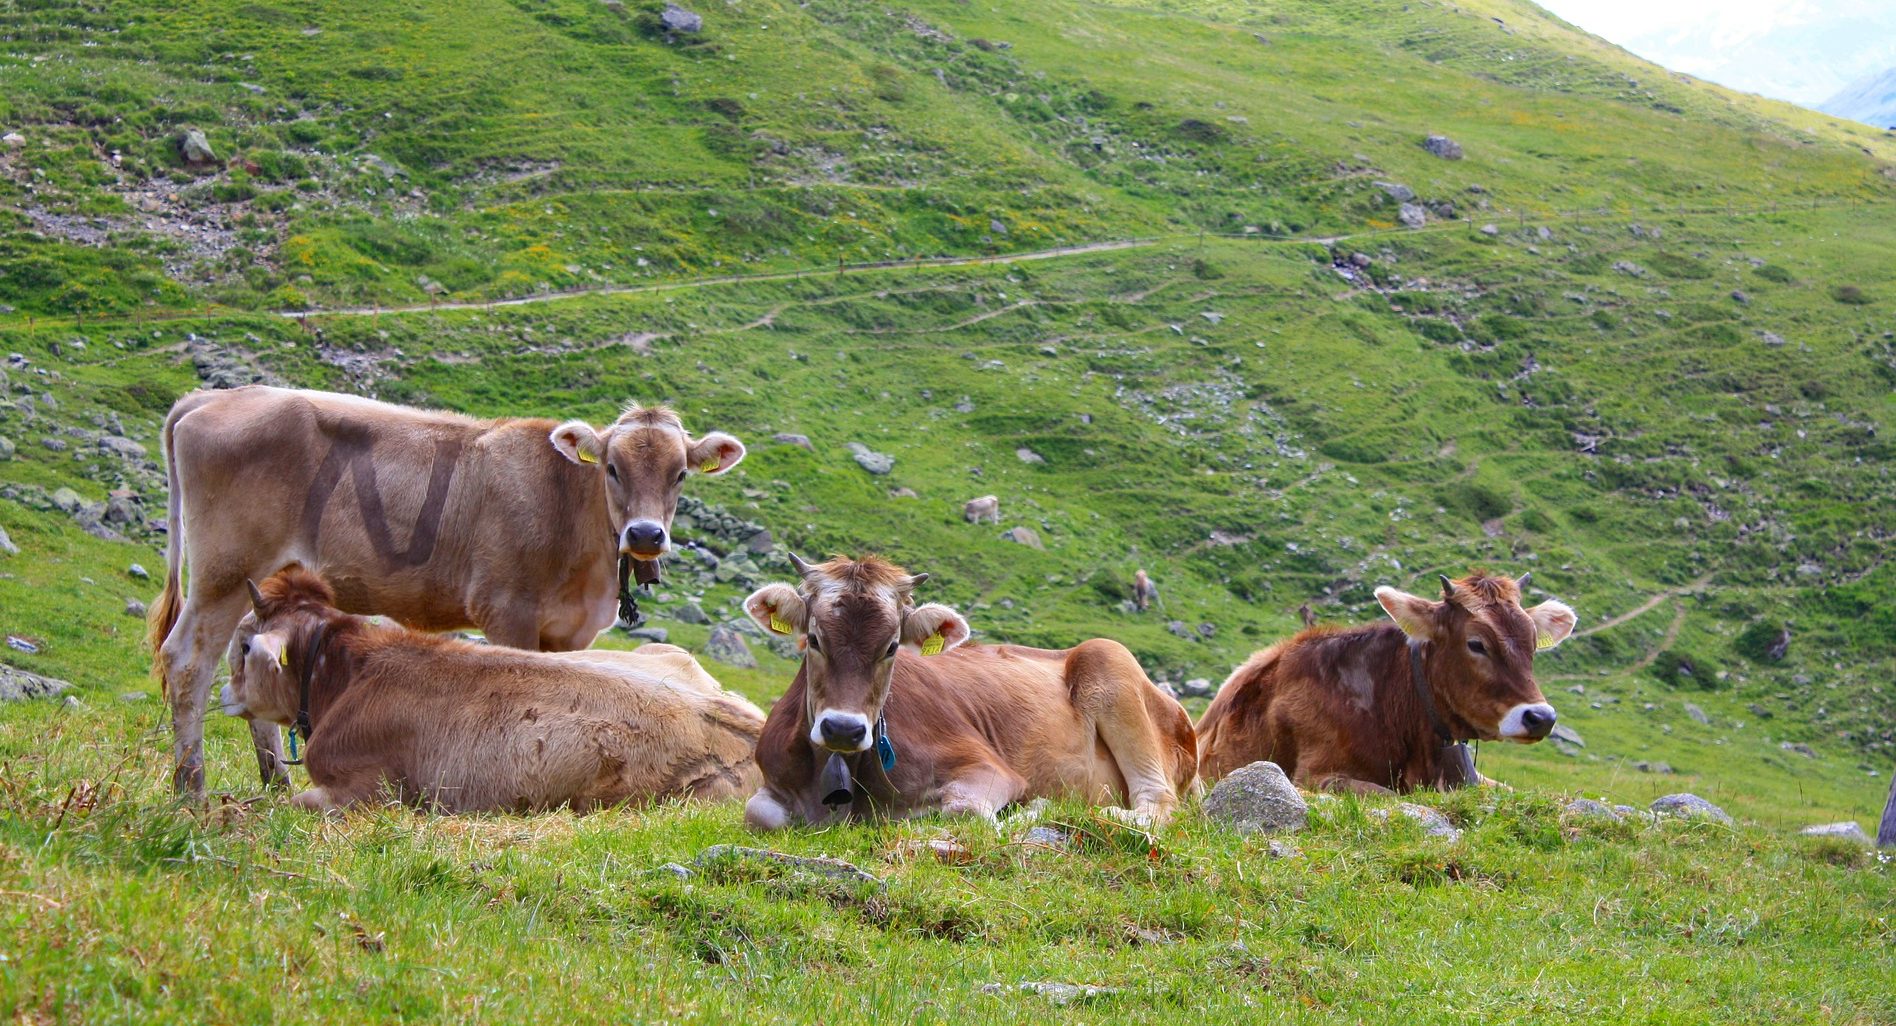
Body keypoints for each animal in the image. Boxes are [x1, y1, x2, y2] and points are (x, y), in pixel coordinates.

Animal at [145, 388, 739, 796]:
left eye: (680, 474)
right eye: (612, 468)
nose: (645, 535)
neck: (569, 509)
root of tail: (212, 395)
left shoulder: (572, 632)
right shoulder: (507, 611)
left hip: (261, 578)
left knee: (244, 649)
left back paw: (273, 783)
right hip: (223, 569)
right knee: (187, 660)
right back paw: (190, 791)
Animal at [735, 557, 1190, 826]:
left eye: (892, 647)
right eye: (814, 639)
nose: (843, 729)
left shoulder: (989, 768)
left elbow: (966, 810)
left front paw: (1036, 807)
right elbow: (758, 812)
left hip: (1110, 658)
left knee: (1157, 802)